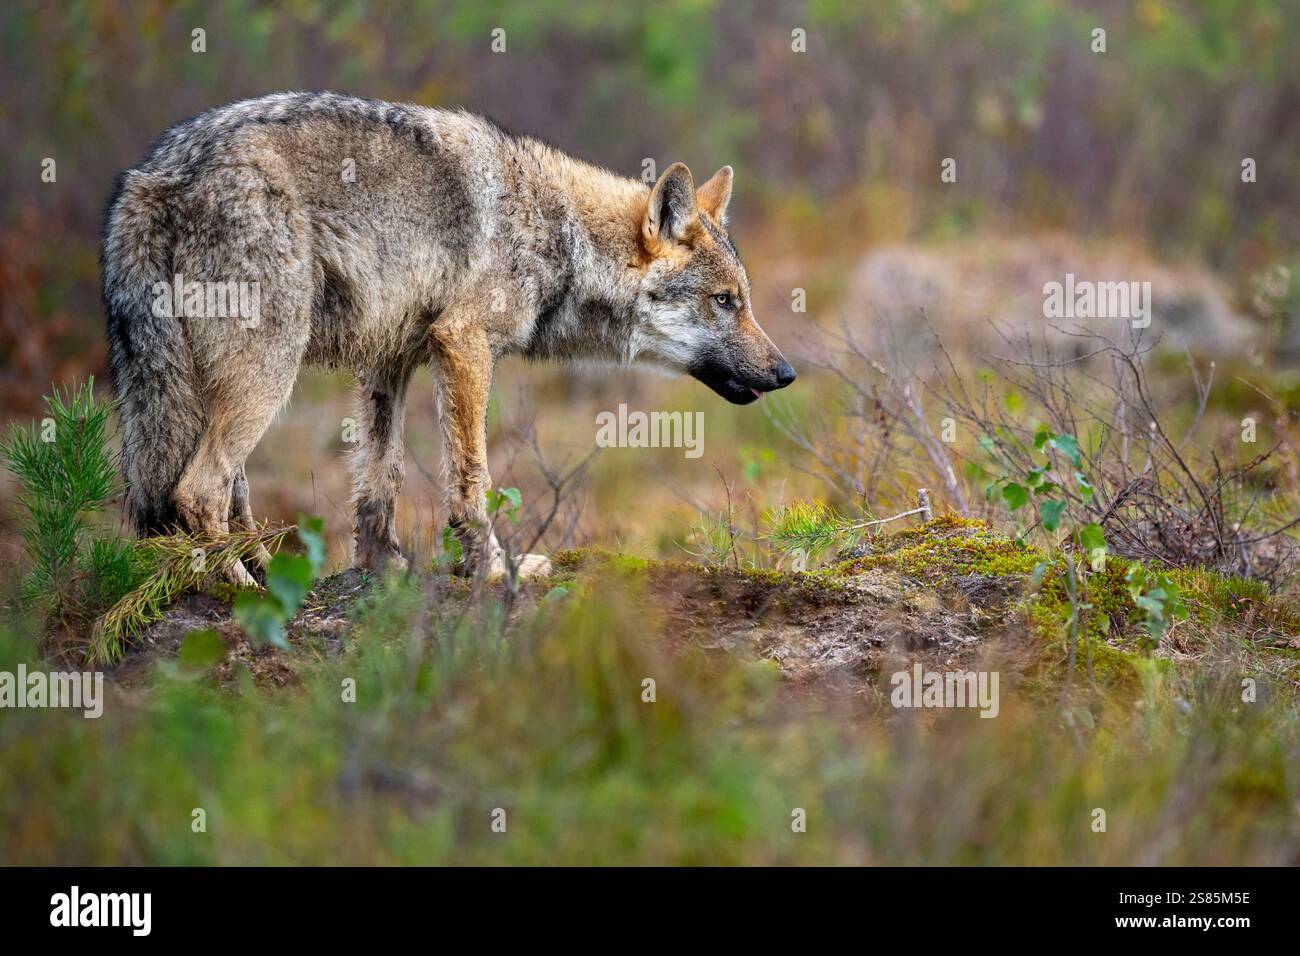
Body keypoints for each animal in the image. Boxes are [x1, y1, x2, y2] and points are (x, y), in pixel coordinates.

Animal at [102, 92, 795, 582]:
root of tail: (152, 176)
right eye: (725, 302)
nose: (786, 373)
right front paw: (491, 570)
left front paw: (380, 571)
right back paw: (240, 590)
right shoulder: (463, 345)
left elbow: (378, 483)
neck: (558, 230)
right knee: (198, 491)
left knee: (224, 491)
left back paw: (263, 575)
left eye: (743, 301)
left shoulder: (389, 360)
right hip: (270, 372)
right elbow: (470, 479)